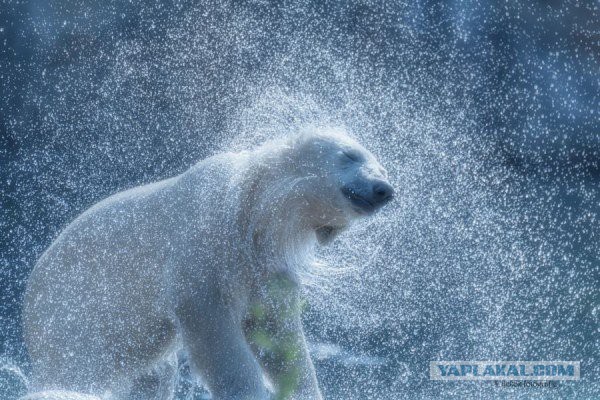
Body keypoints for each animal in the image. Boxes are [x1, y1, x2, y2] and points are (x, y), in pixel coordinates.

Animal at [23, 129, 396, 400]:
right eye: (350, 155)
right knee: (80, 366)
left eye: (383, 166)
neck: (249, 210)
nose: (384, 189)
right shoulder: (204, 245)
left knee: (154, 374)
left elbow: (277, 333)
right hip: (74, 311)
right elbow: (214, 331)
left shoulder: (265, 265)